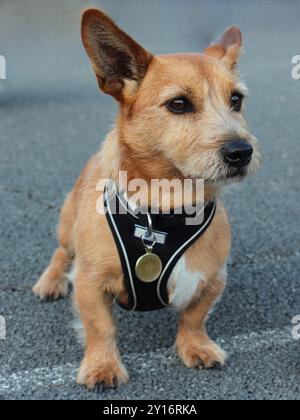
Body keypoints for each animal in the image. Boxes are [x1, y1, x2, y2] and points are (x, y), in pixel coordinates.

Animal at [31, 9, 258, 390]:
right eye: (178, 104)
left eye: (236, 100)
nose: (241, 152)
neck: (164, 209)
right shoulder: (89, 281)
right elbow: (100, 326)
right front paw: (103, 365)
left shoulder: (213, 277)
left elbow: (194, 317)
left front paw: (195, 346)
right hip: (67, 223)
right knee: (61, 252)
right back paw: (49, 282)